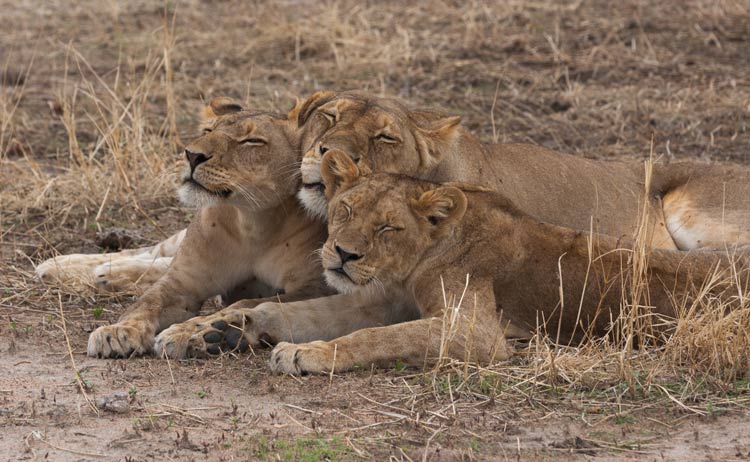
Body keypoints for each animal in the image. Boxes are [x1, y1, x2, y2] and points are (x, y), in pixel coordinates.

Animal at [82, 96, 334, 358]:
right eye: (208, 131)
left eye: (251, 141)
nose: (192, 155)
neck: (252, 224)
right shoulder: (181, 282)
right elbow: (146, 302)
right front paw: (117, 331)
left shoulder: (314, 287)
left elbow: (247, 303)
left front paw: (191, 332)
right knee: (152, 253)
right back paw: (99, 270)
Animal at [268, 150, 748, 374]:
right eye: (345, 210)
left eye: (389, 228)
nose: (343, 253)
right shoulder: (394, 300)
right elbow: (326, 314)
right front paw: (261, 324)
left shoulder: (476, 331)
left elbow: (376, 337)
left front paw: (306, 354)